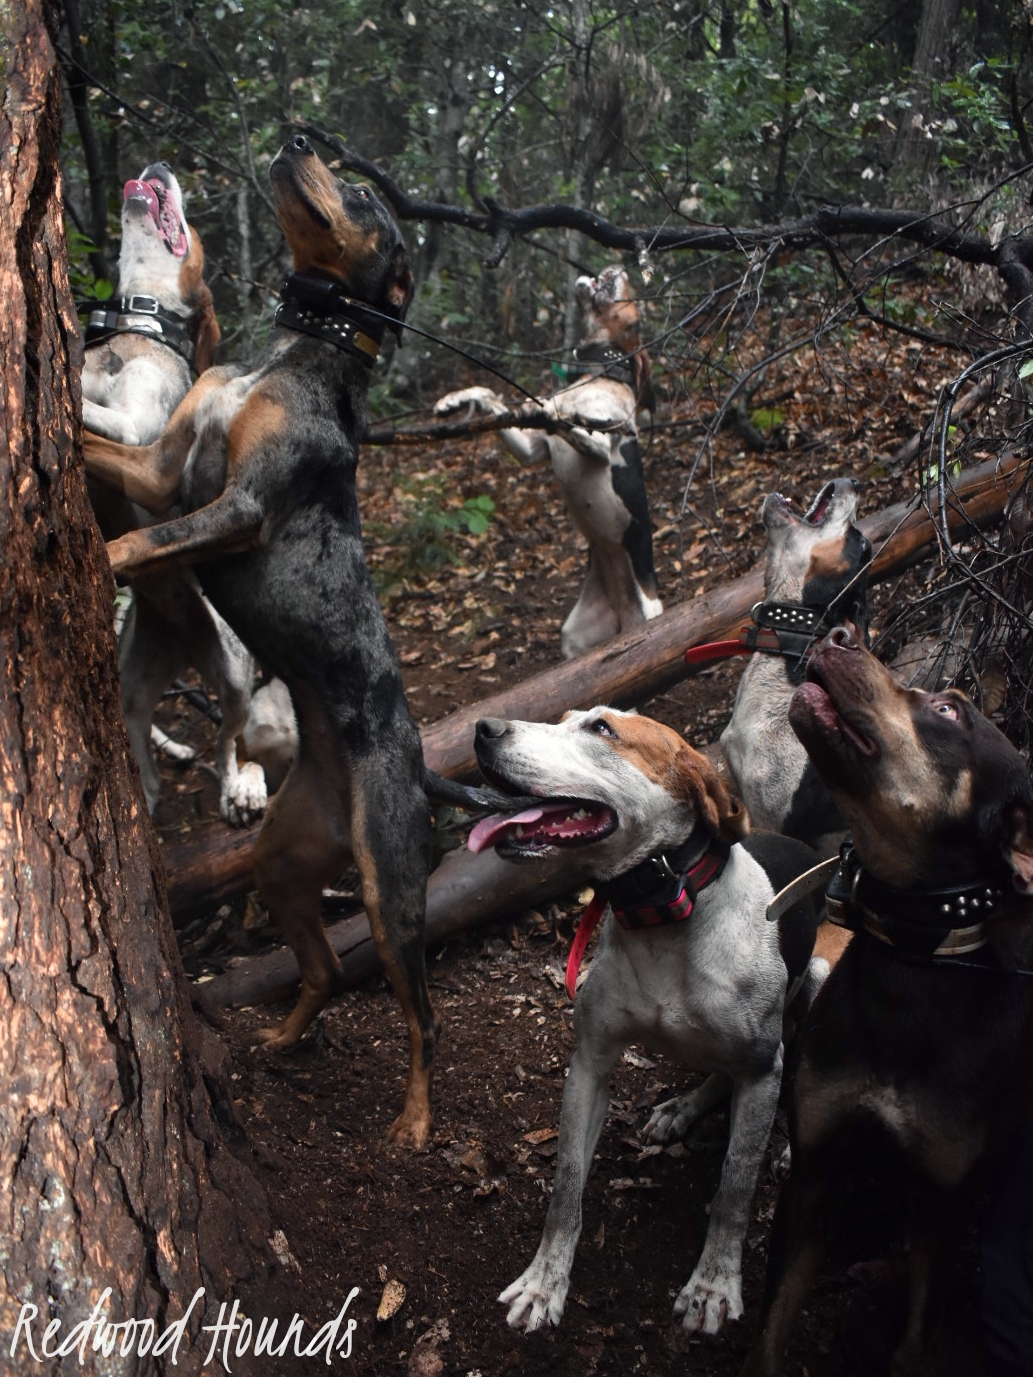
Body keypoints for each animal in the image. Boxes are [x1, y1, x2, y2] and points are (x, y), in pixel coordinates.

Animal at [81, 161, 266, 826]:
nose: (157, 166)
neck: (134, 327)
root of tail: (184, 639)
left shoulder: (139, 432)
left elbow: (90, 411)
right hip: (132, 673)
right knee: (137, 728)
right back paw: (148, 786)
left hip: (233, 675)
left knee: (230, 741)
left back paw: (240, 790)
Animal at [434, 265, 662, 659]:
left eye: (634, 311)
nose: (618, 266)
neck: (594, 375)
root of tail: (624, 611)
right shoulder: (531, 449)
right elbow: (489, 395)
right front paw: (455, 399)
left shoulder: (599, 446)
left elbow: (565, 416)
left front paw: (554, 410)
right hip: (576, 637)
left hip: (651, 615)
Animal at [467, 707, 826, 1335]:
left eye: (602, 730)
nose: (484, 729)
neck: (661, 913)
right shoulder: (590, 1064)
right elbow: (565, 1187)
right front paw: (544, 1282)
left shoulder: (762, 1072)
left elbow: (735, 1188)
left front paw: (713, 1283)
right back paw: (682, 1108)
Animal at [740, 626, 1033, 1376]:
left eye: (951, 711)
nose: (841, 634)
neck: (912, 960)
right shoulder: (814, 1176)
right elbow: (770, 1330)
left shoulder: (940, 1213)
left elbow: (913, 1345)